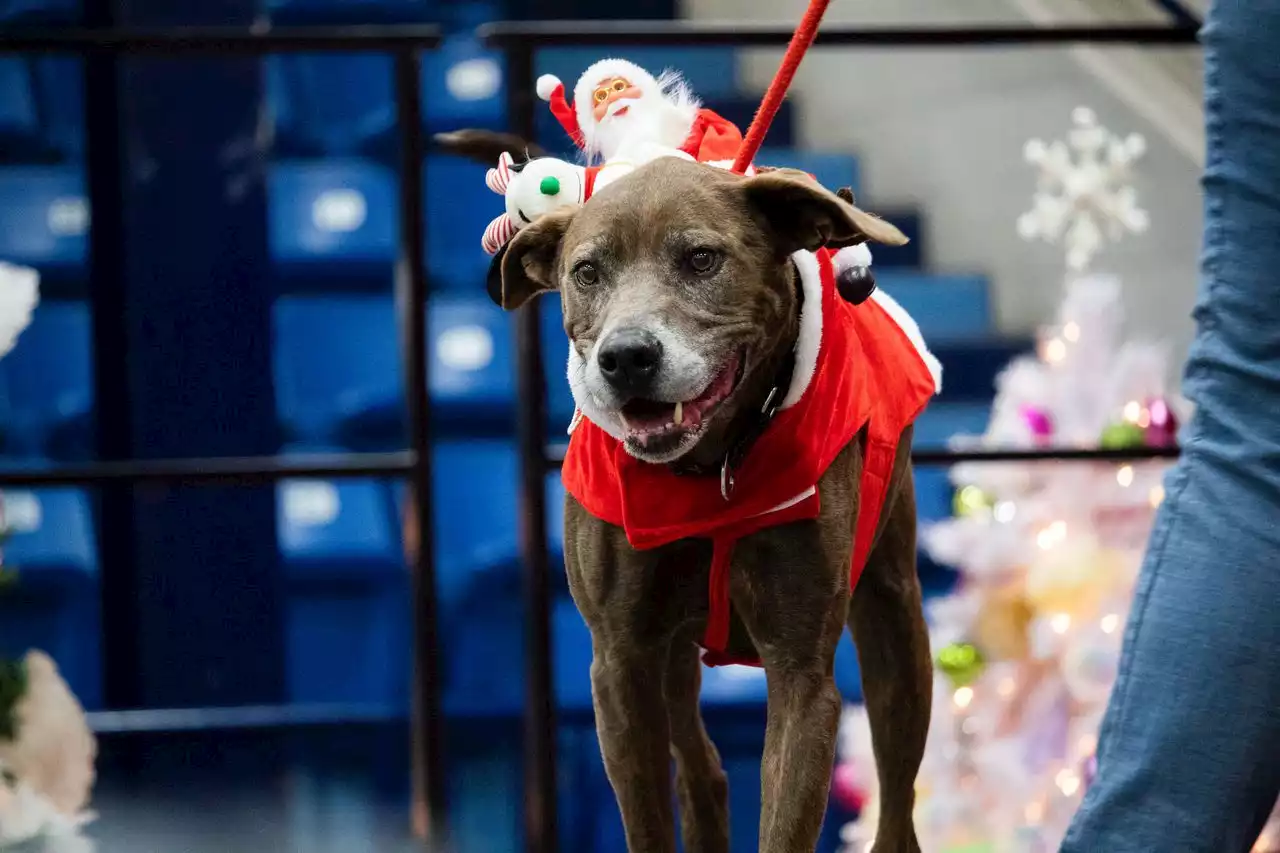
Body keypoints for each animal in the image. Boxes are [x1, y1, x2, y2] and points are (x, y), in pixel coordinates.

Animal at [424, 136, 936, 845]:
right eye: (587, 272)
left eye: (701, 258)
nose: (626, 356)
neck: (710, 466)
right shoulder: (620, 660)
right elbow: (647, 815)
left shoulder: (802, 672)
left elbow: (787, 817)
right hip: (667, 649)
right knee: (701, 768)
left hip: (894, 613)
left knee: (896, 786)